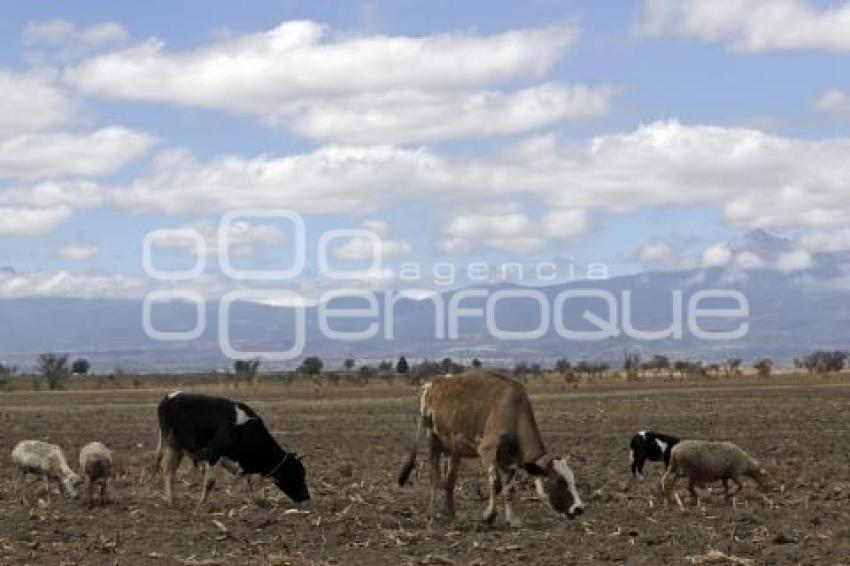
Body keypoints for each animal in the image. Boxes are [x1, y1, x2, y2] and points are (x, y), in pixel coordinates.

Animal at [155, 392, 308, 508]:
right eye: (297, 474)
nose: (306, 498)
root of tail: (169, 397)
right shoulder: (213, 454)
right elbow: (210, 482)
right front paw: (202, 503)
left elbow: (249, 483)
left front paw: (257, 501)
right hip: (171, 445)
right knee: (168, 471)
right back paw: (170, 500)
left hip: (179, 448)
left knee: (171, 471)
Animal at [400, 372, 584, 528]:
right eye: (558, 481)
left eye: (572, 478)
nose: (579, 508)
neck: (513, 411)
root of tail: (432, 384)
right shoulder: (487, 450)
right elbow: (495, 484)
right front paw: (489, 516)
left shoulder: (510, 460)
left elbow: (509, 488)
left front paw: (512, 519)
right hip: (432, 439)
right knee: (435, 477)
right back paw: (430, 515)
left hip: (454, 450)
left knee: (449, 482)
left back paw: (452, 516)